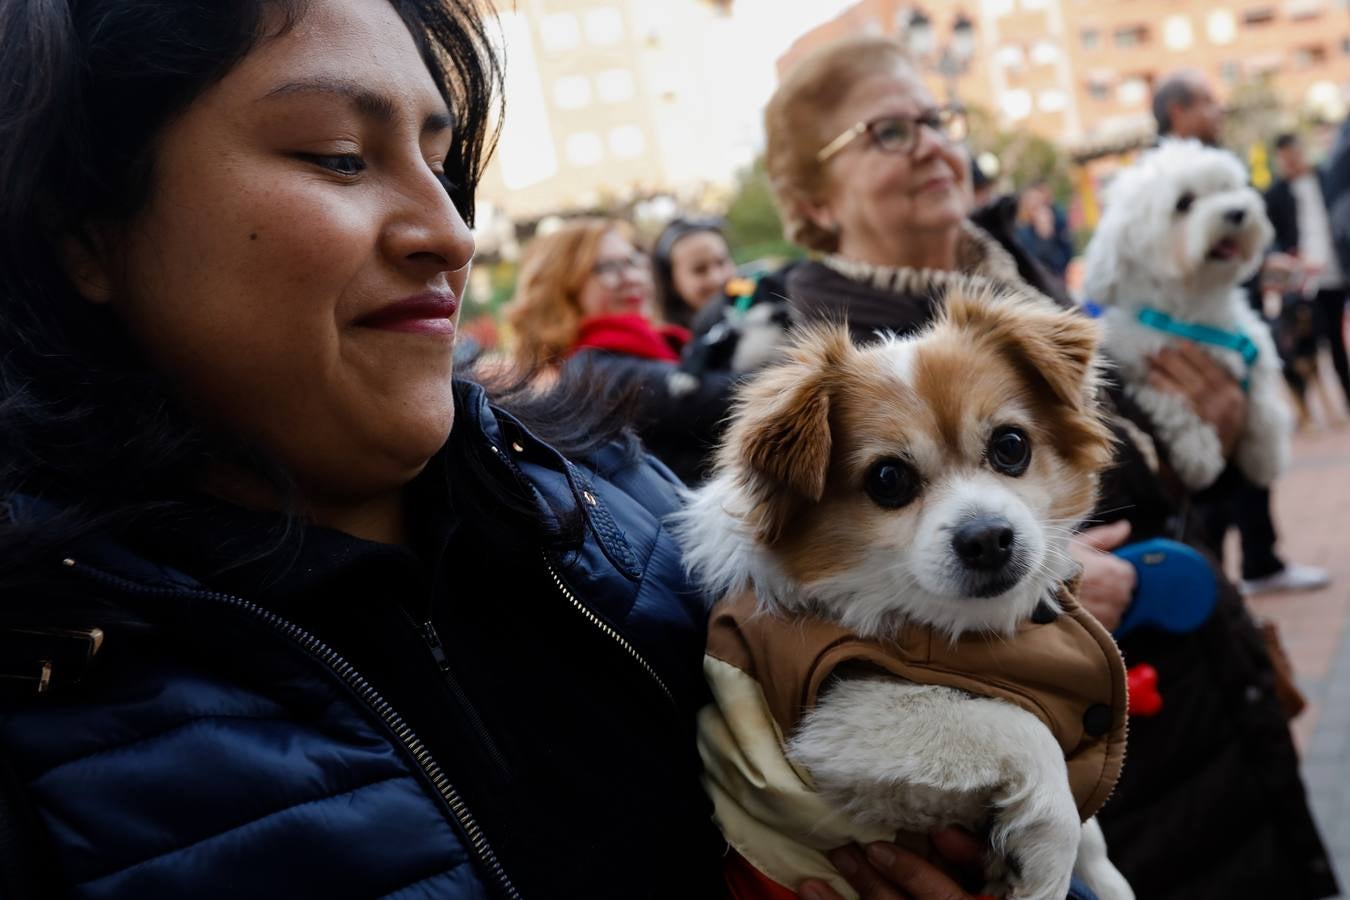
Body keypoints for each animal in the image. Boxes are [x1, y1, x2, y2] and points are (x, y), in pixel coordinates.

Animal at [672, 288, 1128, 900]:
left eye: (1011, 446)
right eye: (888, 480)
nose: (987, 537)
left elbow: (1092, 827)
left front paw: (1103, 879)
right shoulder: (836, 724)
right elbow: (1024, 727)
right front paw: (1048, 869)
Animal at [1080, 139, 1290, 493]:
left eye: (1226, 188)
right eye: (1184, 203)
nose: (1238, 212)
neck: (1194, 312)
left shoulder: (1253, 346)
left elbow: (1262, 400)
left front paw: (1264, 454)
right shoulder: (1141, 367)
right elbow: (1173, 406)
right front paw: (1199, 455)